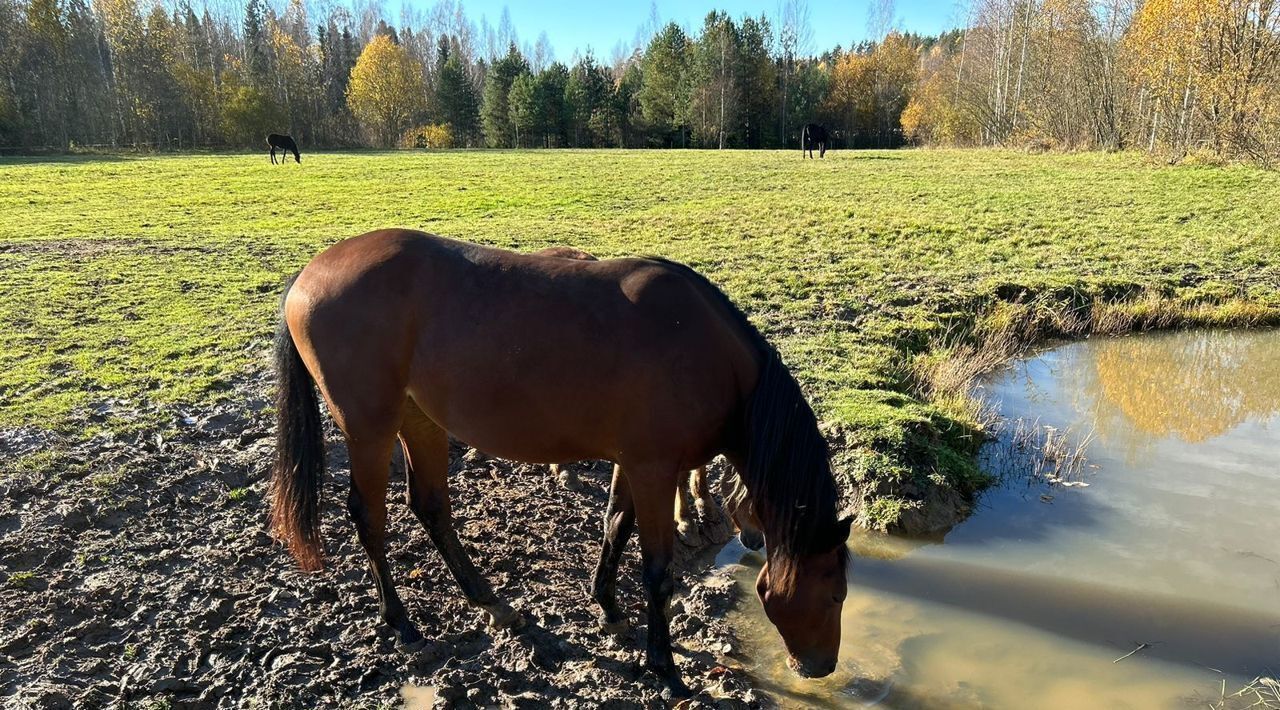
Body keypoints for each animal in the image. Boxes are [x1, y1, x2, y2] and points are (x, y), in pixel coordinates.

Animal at [270, 228, 849, 695]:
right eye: (835, 592)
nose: (821, 667)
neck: (706, 352)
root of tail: (309, 272)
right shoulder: (655, 470)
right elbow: (657, 571)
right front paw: (664, 668)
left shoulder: (634, 464)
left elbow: (615, 526)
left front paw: (608, 607)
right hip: (370, 427)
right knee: (369, 516)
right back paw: (400, 621)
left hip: (420, 419)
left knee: (431, 506)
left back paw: (492, 604)